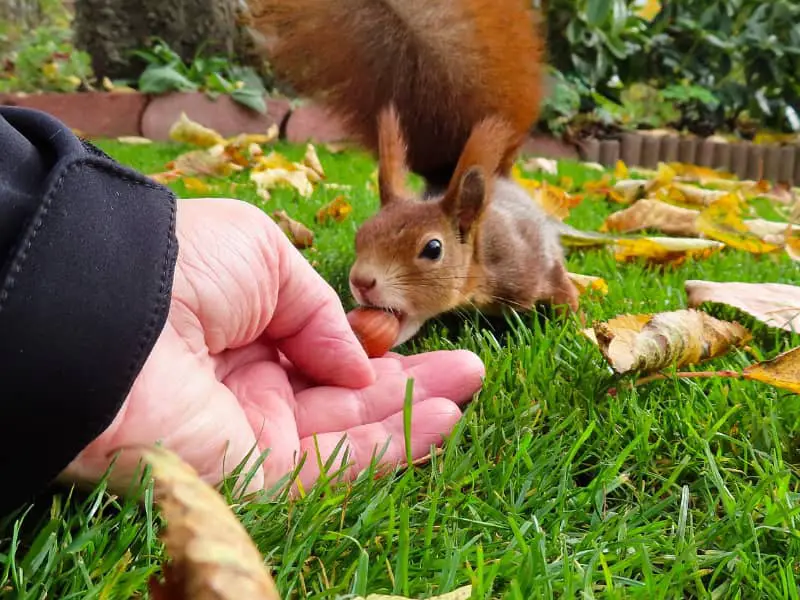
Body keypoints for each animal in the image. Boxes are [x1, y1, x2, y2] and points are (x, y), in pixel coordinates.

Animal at [250, 0, 580, 346]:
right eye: (361, 234)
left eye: (433, 249)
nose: (362, 281)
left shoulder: (531, 266)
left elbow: (564, 290)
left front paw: (577, 326)